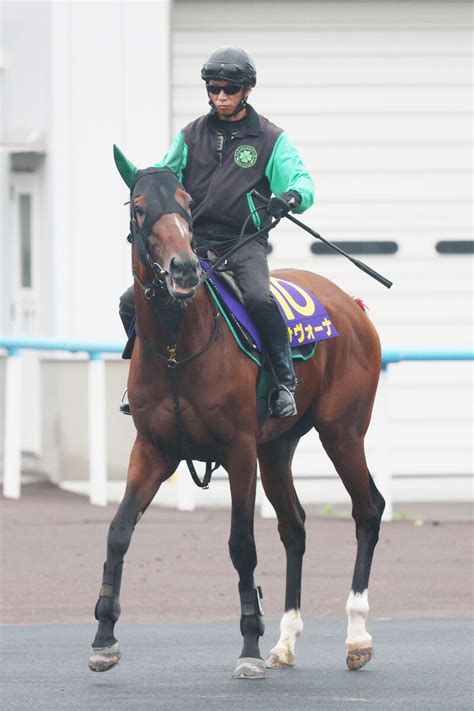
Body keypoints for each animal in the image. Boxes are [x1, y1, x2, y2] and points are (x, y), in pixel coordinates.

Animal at [88, 163, 386, 680]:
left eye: (187, 203)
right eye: (139, 207)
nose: (185, 269)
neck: (177, 348)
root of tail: (351, 303)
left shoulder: (239, 451)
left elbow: (242, 544)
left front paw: (248, 645)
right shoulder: (153, 450)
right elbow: (119, 531)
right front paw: (104, 638)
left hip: (343, 433)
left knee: (367, 510)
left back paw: (357, 636)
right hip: (278, 448)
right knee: (294, 528)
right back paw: (286, 641)